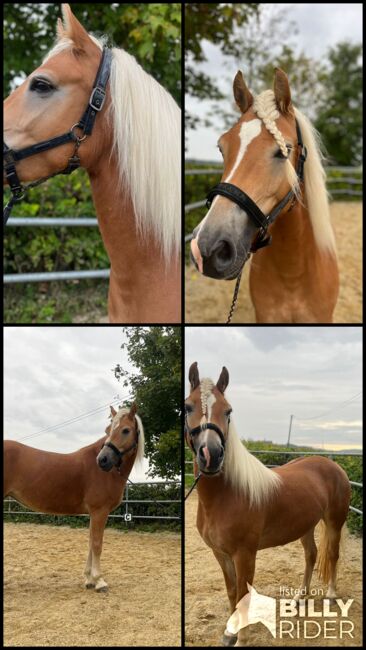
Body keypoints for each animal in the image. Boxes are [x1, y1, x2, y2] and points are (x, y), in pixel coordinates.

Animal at [4, 402, 144, 588]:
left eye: (126, 430)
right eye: (108, 430)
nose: (102, 460)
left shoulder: (94, 513)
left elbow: (91, 542)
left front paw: (89, 579)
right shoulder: (100, 511)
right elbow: (97, 544)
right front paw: (99, 581)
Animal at [186, 362, 352, 644]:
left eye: (228, 410)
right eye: (188, 406)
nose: (211, 455)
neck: (225, 496)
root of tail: (332, 465)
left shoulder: (245, 555)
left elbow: (243, 595)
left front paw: (241, 638)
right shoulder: (220, 554)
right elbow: (231, 592)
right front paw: (230, 632)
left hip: (334, 522)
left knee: (332, 554)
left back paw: (330, 595)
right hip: (305, 525)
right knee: (311, 555)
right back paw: (300, 598)